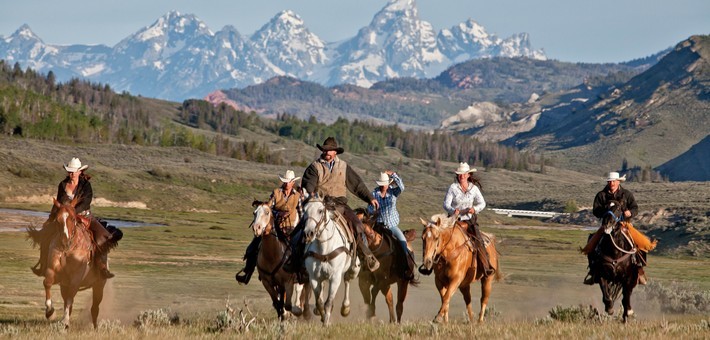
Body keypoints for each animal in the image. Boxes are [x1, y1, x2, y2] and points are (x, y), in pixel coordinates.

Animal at [27, 198, 107, 328]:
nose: (65, 242)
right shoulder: (52, 270)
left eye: (73, 219)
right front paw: (50, 312)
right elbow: (47, 283)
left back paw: (94, 327)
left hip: (99, 286)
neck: (69, 249)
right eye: (57, 219)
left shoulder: (76, 278)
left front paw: (65, 320)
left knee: (94, 307)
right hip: (64, 285)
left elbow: (70, 297)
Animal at [302, 195, 362, 326]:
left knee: (347, 280)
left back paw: (345, 308)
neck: (324, 248)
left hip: (354, 269)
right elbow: (320, 302)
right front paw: (323, 318)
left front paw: (326, 324)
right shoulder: (314, 278)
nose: (309, 233)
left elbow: (328, 303)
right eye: (304, 211)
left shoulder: (335, 278)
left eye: (320, 211)